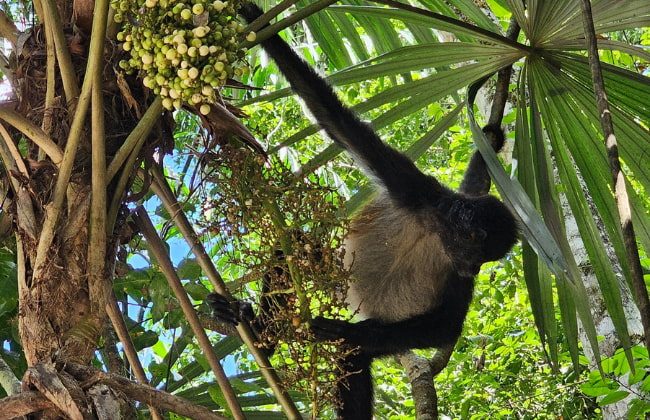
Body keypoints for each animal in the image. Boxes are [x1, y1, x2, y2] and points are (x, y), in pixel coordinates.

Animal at [208, 3, 518, 418]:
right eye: (479, 251)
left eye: (484, 261)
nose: (475, 270)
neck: (436, 232)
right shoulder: (413, 188)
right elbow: (334, 119)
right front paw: (252, 14)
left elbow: (447, 325)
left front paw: (350, 332)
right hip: (339, 275)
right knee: (295, 247)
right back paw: (261, 337)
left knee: (353, 357)